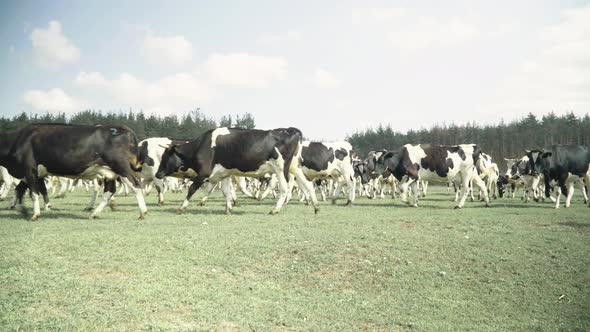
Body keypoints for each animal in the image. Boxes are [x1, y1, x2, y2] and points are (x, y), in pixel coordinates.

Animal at [0, 123, 148, 219]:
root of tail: (122, 128)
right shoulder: (31, 173)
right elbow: (20, 189)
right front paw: (21, 209)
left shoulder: (29, 169)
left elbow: (34, 192)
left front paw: (35, 214)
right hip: (110, 171)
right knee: (110, 190)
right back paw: (94, 213)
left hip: (121, 166)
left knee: (135, 184)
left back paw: (142, 212)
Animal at [154, 127, 320, 215]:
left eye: (165, 157)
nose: (157, 174)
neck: (202, 146)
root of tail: (290, 130)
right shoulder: (225, 173)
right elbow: (226, 191)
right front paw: (228, 209)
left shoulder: (203, 173)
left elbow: (192, 189)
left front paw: (181, 207)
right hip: (294, 167)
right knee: (308, 184)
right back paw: (316, 206)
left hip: (280, 168)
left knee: (285, 188)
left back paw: (275, 209)